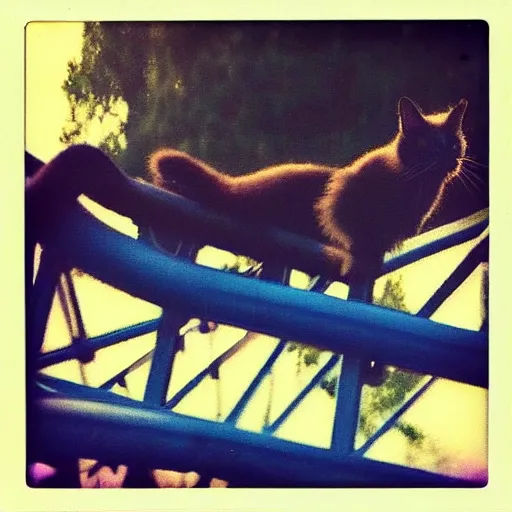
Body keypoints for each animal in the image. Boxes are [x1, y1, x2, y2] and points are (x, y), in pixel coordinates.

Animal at [147, 97, 468, 280]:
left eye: (453, 145)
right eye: (425, 143)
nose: (446, 158)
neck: (417, 187)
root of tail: (241, 183)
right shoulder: (340, 200)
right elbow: (354, 237)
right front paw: (360, 261)